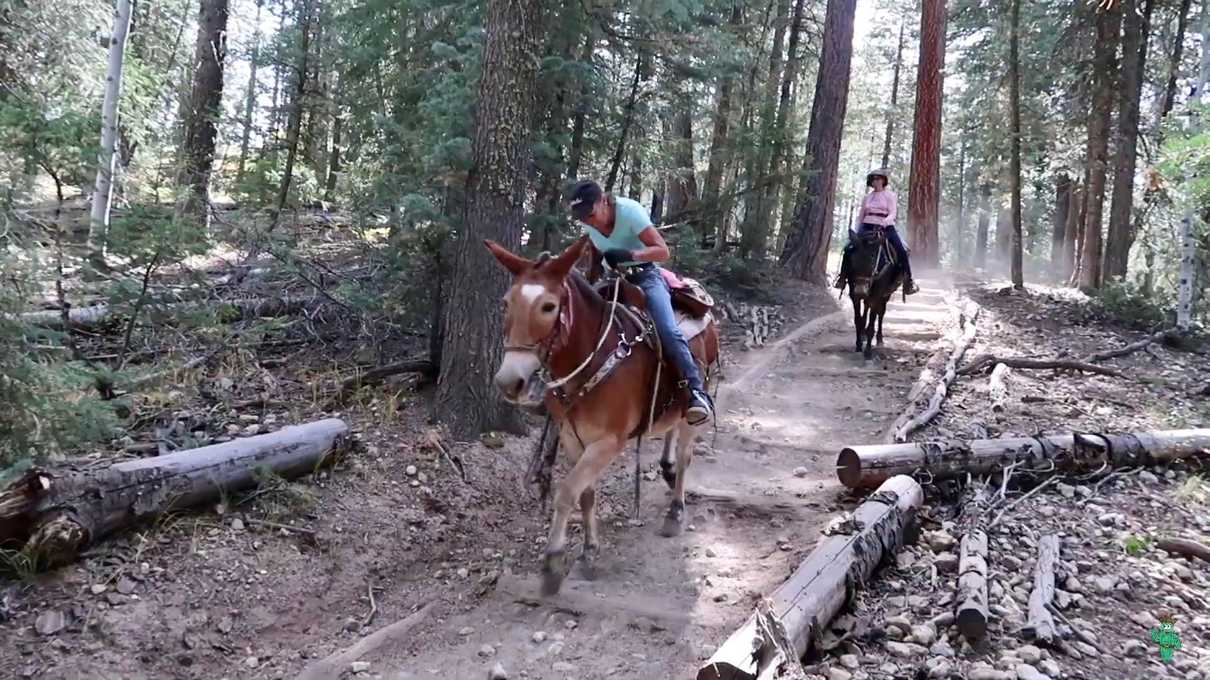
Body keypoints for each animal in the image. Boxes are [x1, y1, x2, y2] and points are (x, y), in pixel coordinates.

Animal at [486, 234, 716, 592]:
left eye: (549, 306)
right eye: (506, 303)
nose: (510, 382)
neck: (593, 358)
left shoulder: (608, 442)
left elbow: (567, 491)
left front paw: (553, 562)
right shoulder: (572, 438)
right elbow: (585, 495)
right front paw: (589, 551)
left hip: (696, 396)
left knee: (685, 453)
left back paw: (675, 511)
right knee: (670, 432)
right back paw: (665, 468)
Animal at [847, 225, 905, 358]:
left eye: (873, 259)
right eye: (852, 259)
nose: (860, 290)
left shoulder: (876, 296)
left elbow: (872, 323)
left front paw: (868, 351)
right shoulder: (854, 295)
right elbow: (858, 320)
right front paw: (858, 345)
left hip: (885, 296)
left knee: (881, 314)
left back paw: (879, 339)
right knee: (866, 310)